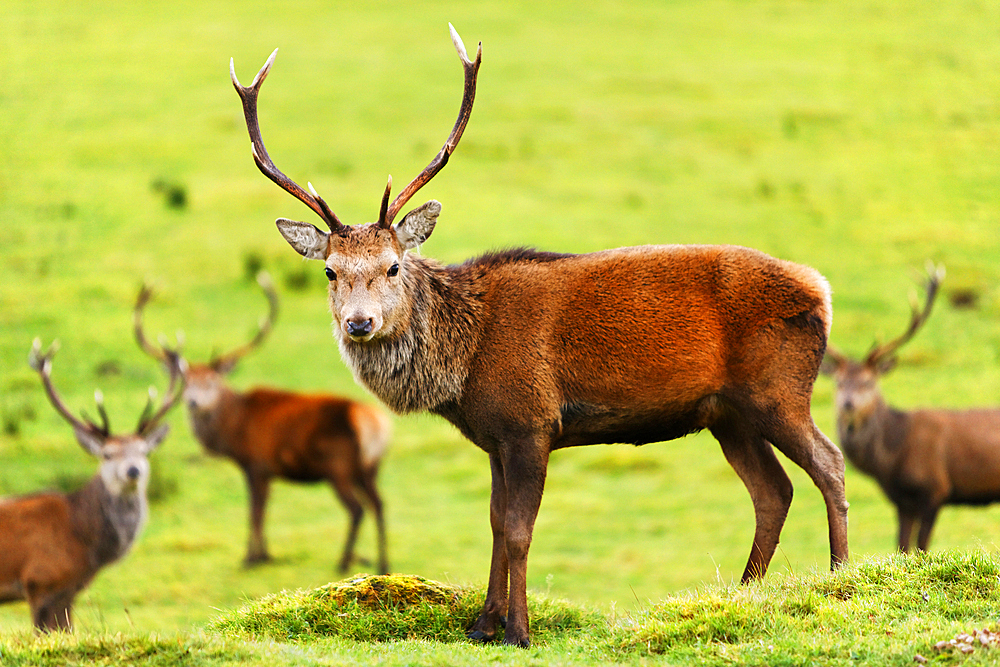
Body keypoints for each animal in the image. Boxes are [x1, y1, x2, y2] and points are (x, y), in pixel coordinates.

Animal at [136, 272, 390, 576]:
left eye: (212, 381)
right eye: (185, 383)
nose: (194, 402)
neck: (234, 429)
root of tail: (372, 421)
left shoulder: (256, 464)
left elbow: (254, 511)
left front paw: (251, 557)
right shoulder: (267, 471)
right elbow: (264, 509)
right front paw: (266, 554)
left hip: (337, 466)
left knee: (357, 509)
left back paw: (343, 562)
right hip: (368, 468)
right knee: (379, 504)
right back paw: (382, 564)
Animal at [232, 24, 852, 648]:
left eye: (393, 265)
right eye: (331, 272)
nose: (359, 323)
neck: (463, 363)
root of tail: (821, 289)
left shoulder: (532, 422)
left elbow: (519, 530)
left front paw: (518, 630)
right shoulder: (494, 435)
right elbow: (492, 522)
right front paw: (483, 624)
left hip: (778, 388)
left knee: (828, 462)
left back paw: (839, 577)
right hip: (727, 413)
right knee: (773, 491)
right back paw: (744, 592)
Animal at [820, 266, 1000, 552]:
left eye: (868, 382)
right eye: (838, 382)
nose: (848, 403)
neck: (892, 458)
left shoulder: (935, 490)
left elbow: (921, 546)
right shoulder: (901, 501)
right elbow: (902, 546)